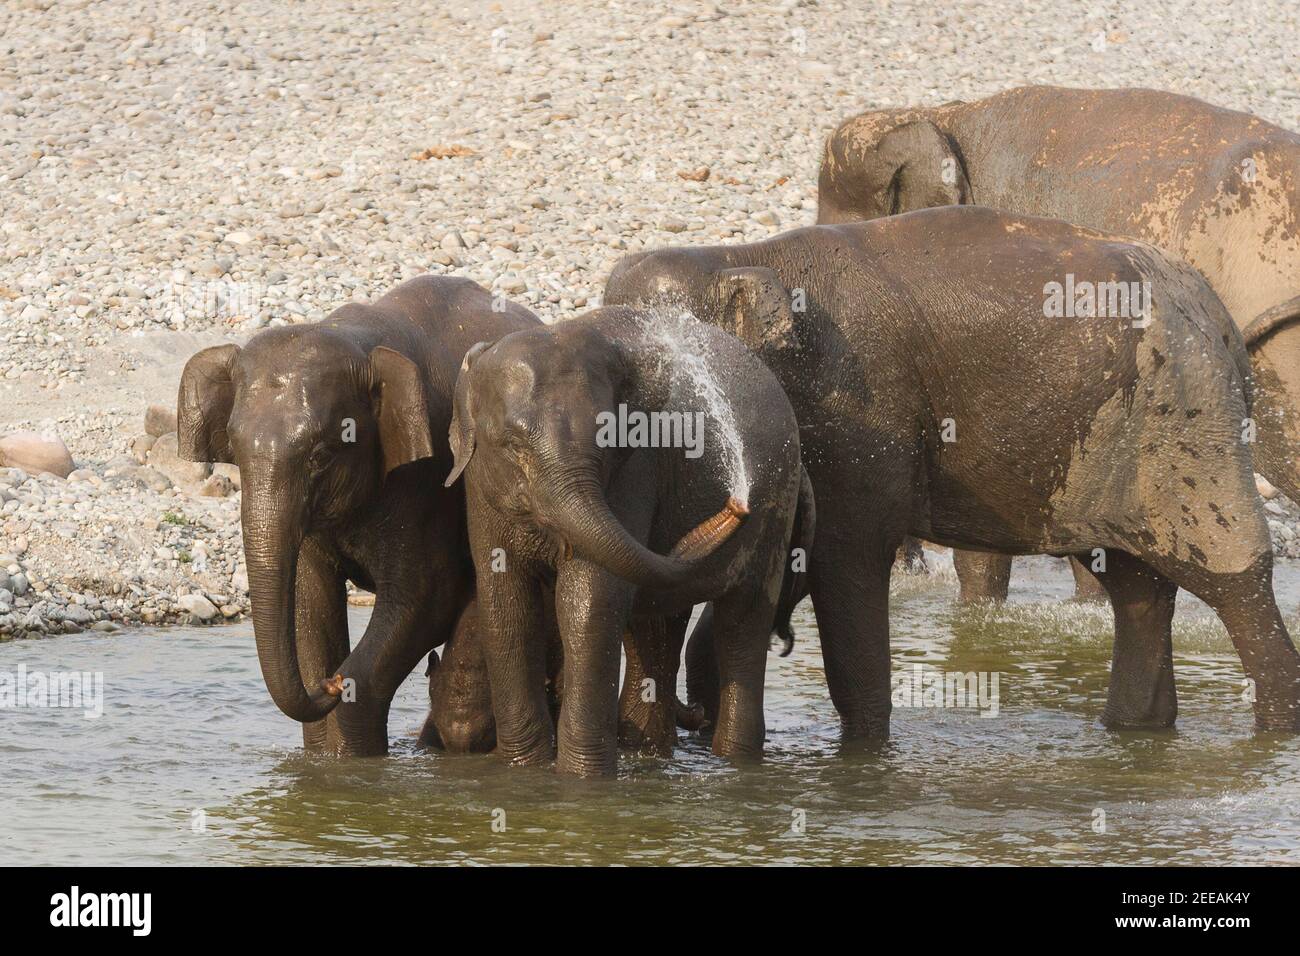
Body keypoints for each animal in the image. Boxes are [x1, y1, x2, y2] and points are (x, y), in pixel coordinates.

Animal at [175, 274, 535, 754]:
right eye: (234, 448)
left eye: (320, 455)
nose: (328, 685)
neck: (355, 339)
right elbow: (311, 604)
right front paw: (323, 755)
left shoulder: (426, 480)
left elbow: (425, 599)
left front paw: (349, 735)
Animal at [447, 306, 811, 780]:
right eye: (510, 445)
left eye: (608, 442)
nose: (736, 505)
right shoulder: (478, 486)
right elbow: (506, 604)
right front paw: (522, 771)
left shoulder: (636, 469)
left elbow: (590, 600)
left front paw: (581, 780)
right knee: (655, 625)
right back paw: (650, 754)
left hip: (776, 505)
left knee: (742, 620)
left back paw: (735, 762)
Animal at [603, 205, 1300, 738]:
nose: (692, 715)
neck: (737, 255)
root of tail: (1226, 325)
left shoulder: (861, 408)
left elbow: (848, 557)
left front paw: (865, 755)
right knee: (1137, 588)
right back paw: (1136, 733)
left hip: (1186, 420)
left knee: (1231, 575)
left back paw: (1272, 734)